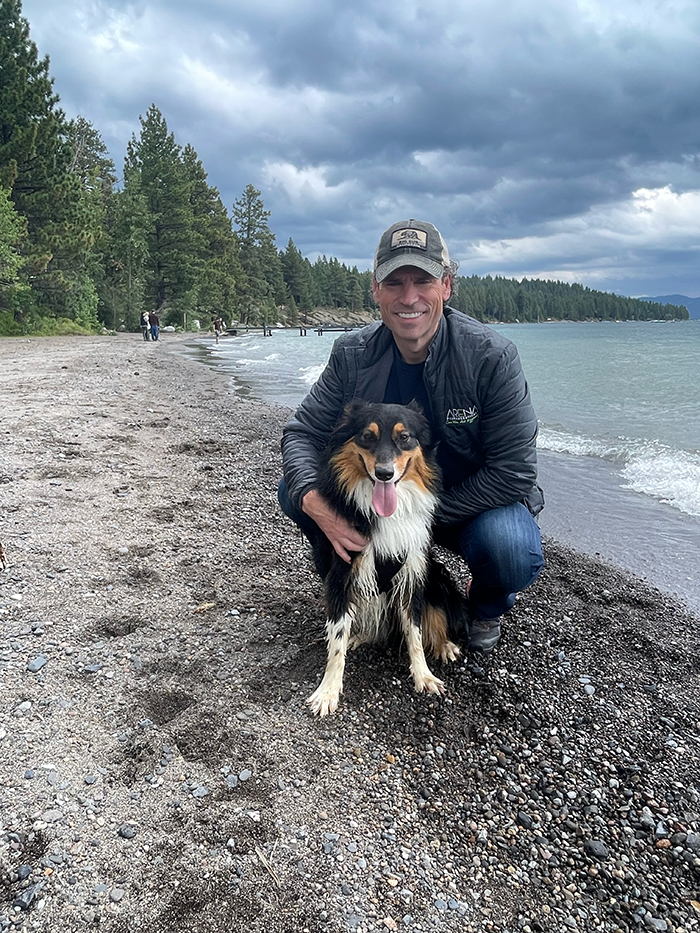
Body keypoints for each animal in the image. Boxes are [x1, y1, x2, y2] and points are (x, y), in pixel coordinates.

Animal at [306, 400, 467, 716]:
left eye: (404, 437)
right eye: (367, 436)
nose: (384, 473)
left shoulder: (413, 571)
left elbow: (415, 632)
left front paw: (424, 676)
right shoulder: (342, 573)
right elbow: (337, 640)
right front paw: (328, 691)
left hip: (436, 577)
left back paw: (444, 645)